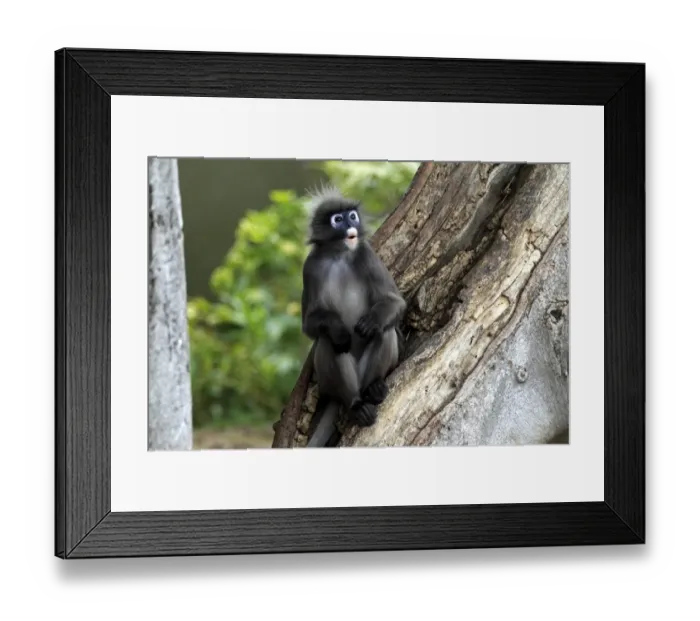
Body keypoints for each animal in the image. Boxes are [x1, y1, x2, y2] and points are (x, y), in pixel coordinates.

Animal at [300, 186, 406, 448]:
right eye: (338, 219)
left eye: (352, 216)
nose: (351, 226)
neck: (339, 254)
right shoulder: (310, 267)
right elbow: (310, 326)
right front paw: (338, 328)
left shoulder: (366, 253)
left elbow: (395, 302)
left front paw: (372, 321)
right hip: (330, 381)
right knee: (331, 343)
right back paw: (355, 404)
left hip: (366, 370)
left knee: (385, 332)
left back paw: (374, 387)